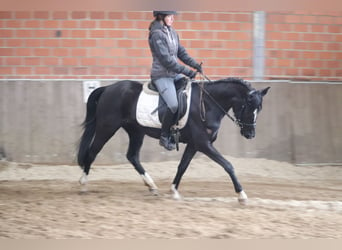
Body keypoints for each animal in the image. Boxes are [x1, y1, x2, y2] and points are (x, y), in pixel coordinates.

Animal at [77, 77, 270, 204]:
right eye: (248, 106)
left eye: (259, 109)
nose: (250, 134)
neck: (208, 104)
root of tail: (108, 88)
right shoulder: (203, 144)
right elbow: (228, 165)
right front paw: (242, 195)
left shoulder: (194, 144)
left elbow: (182, 166)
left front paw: (174, 191)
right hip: (107, 128)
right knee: (92, 152)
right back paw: (83, 185)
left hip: (136, 132)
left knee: (132, 156)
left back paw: (152, 186)